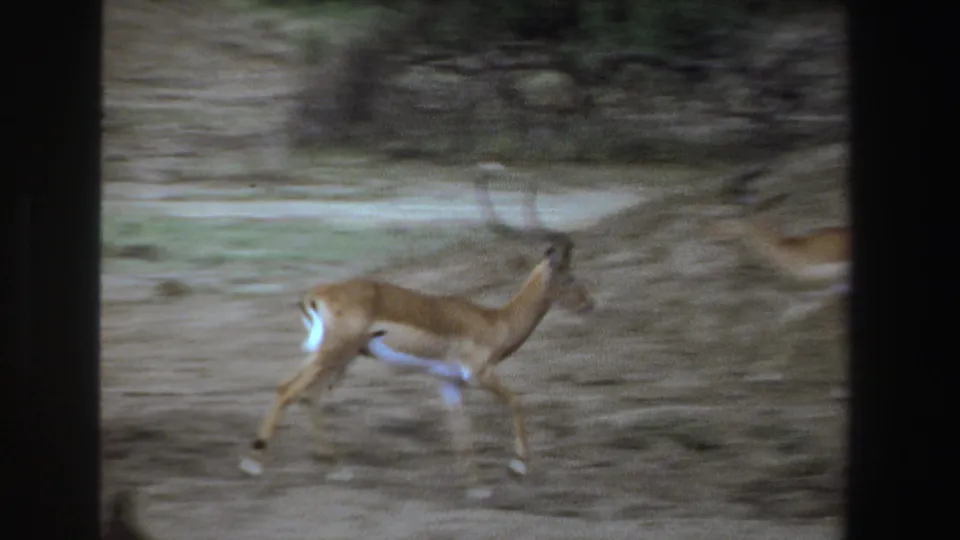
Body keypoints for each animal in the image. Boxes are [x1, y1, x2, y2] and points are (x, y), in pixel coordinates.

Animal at [239, 168, 596, 497]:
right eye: (570, 276)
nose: (589, 304)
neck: (494, 321)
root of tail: (315, 294)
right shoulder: (479, 374)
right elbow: (516, 401)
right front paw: (518, 466)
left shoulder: (449, 383)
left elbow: (460, 429)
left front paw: (476, 488)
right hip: (334, 354)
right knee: (289, 389)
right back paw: (253, 464)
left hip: (336, 357)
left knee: (306, 395)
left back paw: (336, 469)